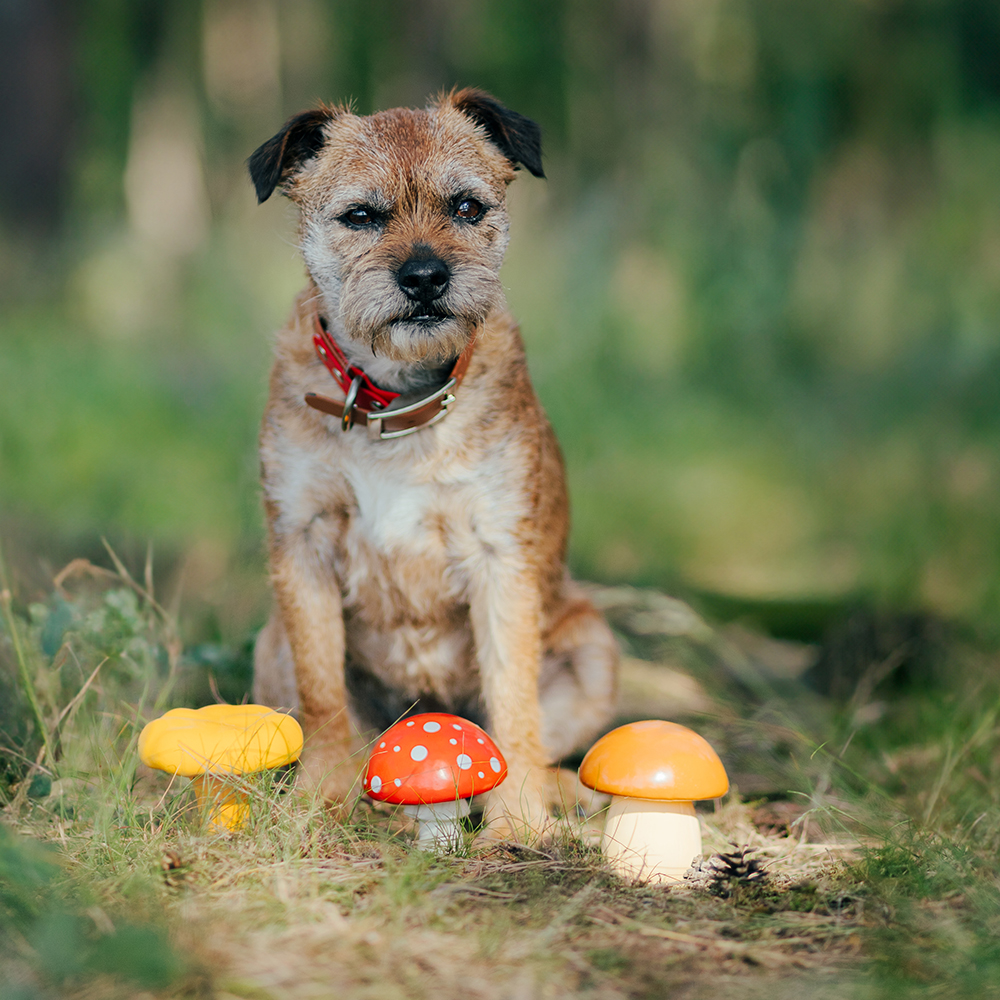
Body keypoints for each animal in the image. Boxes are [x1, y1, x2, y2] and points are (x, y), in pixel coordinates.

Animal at [246, 88, 616, 844]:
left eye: (467, 207)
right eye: (361, 215)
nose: (424, 277)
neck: (397, 403)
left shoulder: (500, 558)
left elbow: (514, 699)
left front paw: (518, 821)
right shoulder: (302, 544)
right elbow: (323, 693)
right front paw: (319, 800)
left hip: (596, 648)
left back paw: (554, 793)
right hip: (269, 645)